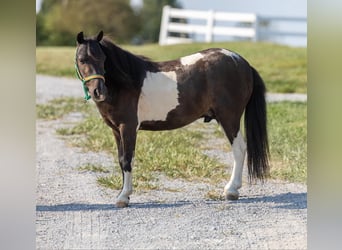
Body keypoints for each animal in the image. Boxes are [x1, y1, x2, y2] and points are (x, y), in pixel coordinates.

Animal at [75, 30, 270, 207]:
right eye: (82, 59)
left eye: (103, 59)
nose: (98, 91)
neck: (125, 84)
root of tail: (242, 63)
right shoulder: (116, 130)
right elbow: (121, 159)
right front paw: (124, 194)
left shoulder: (128, 127)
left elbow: (127, 160)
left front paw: (123, 197)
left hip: (229, 118)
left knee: (239, 149)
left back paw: (231, 190)